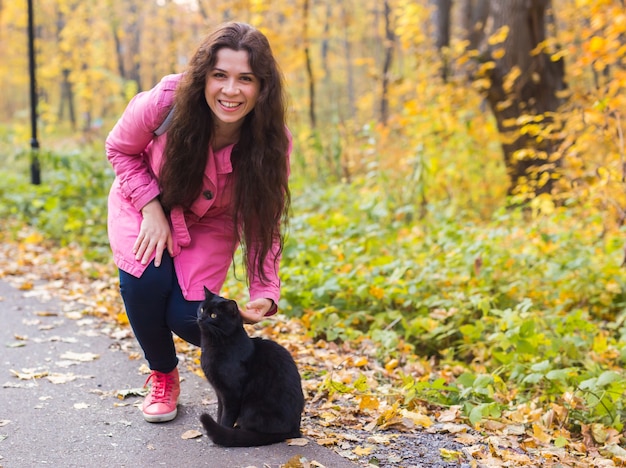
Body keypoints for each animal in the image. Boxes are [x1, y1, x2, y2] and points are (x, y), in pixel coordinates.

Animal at [195, 288, 302, 448]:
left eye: (213, 315)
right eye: (202, 309)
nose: (201, 318)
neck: (212, 345)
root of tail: (295, 430)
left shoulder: (232, 394)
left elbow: (226, 417)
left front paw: (222, 431)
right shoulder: (220, 392)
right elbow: (220, 412)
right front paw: (218, 426)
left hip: (252, 407)